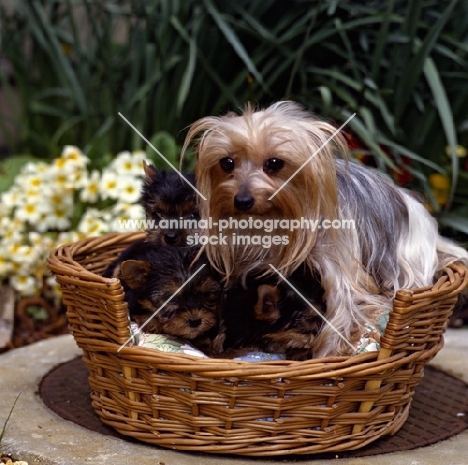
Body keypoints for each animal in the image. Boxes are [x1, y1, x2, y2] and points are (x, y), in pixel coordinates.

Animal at [182, 100, 468, 356]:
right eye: (226, 163)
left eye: (274, 163)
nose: (242, 200)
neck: (277, 220)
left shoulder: (340, 268)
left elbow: (344, 310)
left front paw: (325, 357)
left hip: (409, 263)